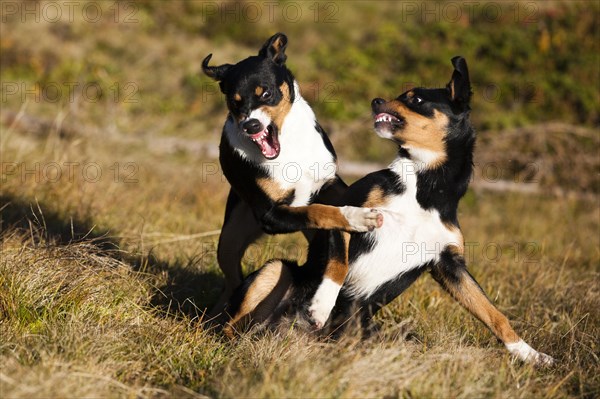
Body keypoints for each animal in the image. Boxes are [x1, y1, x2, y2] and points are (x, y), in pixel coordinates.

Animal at [224, 55, 552, 366]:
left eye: (415, 99)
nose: (376, 101)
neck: (424, 187)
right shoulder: (346, 215)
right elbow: (338, 263)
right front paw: (321, 306)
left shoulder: (448, 264)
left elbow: (494, 313)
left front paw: (530, 354)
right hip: (274, 271)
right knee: (232, 325)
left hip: (393, 336)